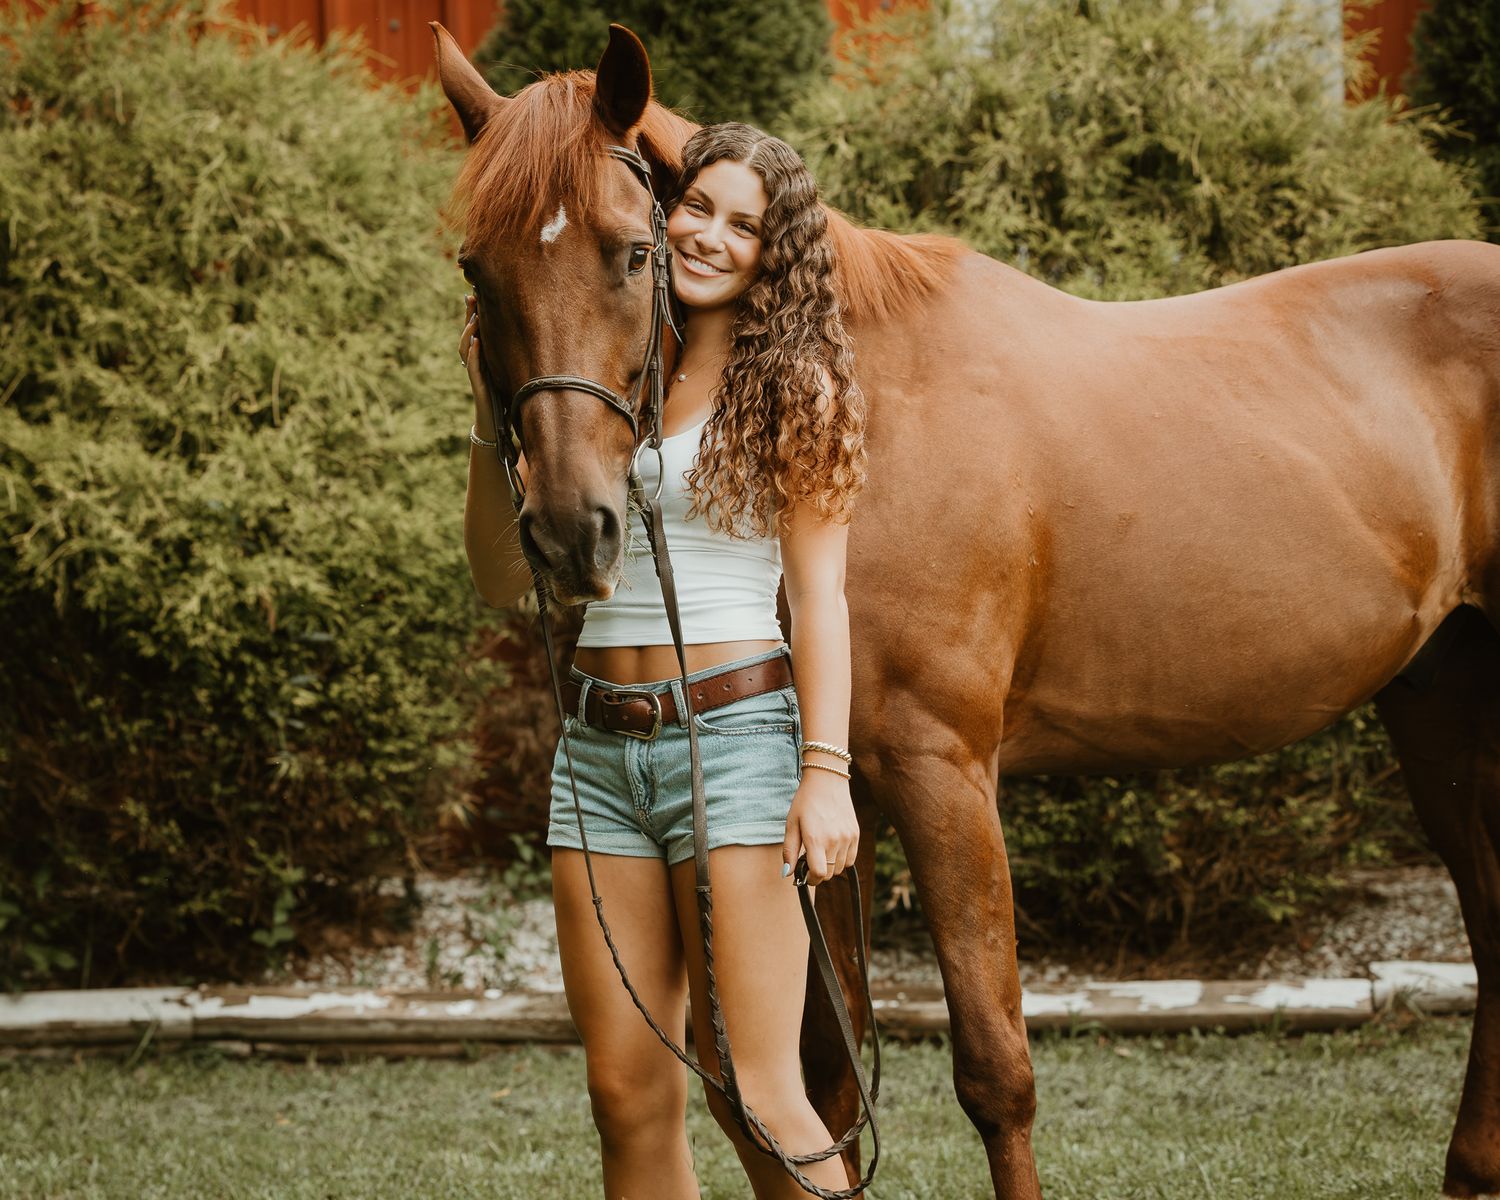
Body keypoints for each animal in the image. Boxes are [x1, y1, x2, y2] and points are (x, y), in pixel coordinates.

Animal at [432, 21, 1500, 1199]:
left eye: (631, 251)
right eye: (478, 268)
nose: (570, 533)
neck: (860, 412)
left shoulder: (942, 773)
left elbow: (995, 1072)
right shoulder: (826, 810)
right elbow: (819, 1087)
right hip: (1442, 701)